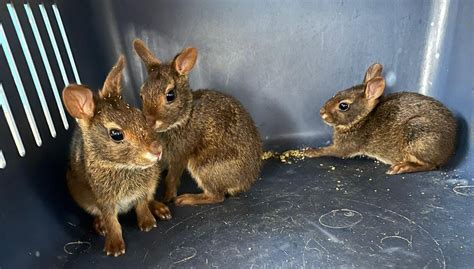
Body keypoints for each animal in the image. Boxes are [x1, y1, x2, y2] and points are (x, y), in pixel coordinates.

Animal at [62, 54, 170, 255]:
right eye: (116, 134)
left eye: (140, 116)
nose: (157, 150)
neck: (120, 166)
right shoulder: (104, 200)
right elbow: (111, 220)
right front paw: (114, 248)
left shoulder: (142, 190)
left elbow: (142, 205)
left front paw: (148, 223)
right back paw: (99, 226)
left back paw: (161, 210)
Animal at [132, 38, 262, 205]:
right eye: (141, 95)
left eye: (170, 95)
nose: (149, 121)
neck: (185, 116)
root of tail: (246, 181)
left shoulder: (180, 154)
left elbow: (171, 178)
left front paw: (167, 198)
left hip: (203, 167)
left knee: (216, 196)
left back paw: (186, 199)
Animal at [304, 62, 456, 174]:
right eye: (336, 94)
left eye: (343, 106)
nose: (321, 112)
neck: (362, 118)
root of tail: (450, 148)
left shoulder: (345, 146)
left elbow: (331, 150)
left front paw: (310, 151)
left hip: (417, 133)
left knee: (431, 165)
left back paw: (401, 167)